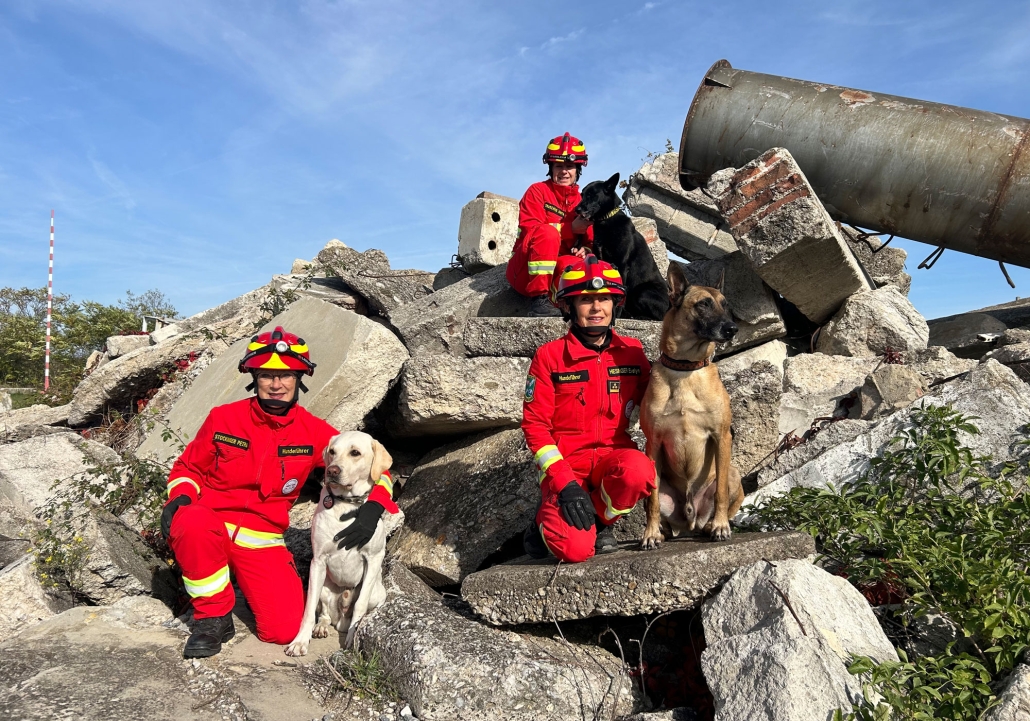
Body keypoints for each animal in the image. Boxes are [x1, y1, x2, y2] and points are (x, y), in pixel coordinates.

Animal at [285, 431, 401, 655]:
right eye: (332, 451)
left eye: (355, 452)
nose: (332, 470)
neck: (345, 504)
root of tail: (340, 620)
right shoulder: (318, 562)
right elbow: (309, 608)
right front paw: (299, 642)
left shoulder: (374, 558)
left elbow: (360, 606)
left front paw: (352, 640)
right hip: (323, 586)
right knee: (324, 613)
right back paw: (321, 627)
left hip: (377, 593)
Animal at [574, 172, 670, 321]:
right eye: (582, 194)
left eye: (591, 195)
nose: (576, 210)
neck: (606, 221)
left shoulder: (622, 265)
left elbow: (620, 293)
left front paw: (615, 313)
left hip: (641, 292)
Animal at [639, 262, 743, 547]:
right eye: (703, 304)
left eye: (725, 304)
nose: (732, 329)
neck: (685, 369)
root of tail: (690, 520)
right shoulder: (653, 444)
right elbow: (652, 501)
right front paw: (650, 533)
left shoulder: (721, 436)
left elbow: (720, 493)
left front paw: (720, 526)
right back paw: (661, 531)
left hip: (733, 473)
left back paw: (711, 526)